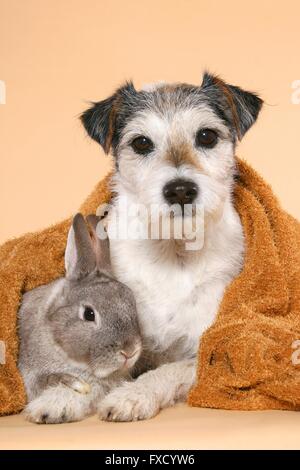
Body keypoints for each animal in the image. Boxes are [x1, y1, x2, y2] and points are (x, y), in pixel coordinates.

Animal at [80, 73, 262, 422]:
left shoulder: (211, 354)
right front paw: (56, 399)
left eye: (206, 136)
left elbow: (167, 370)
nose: (180, 190)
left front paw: (132, 395)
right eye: (141, 143)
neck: (174, 250)